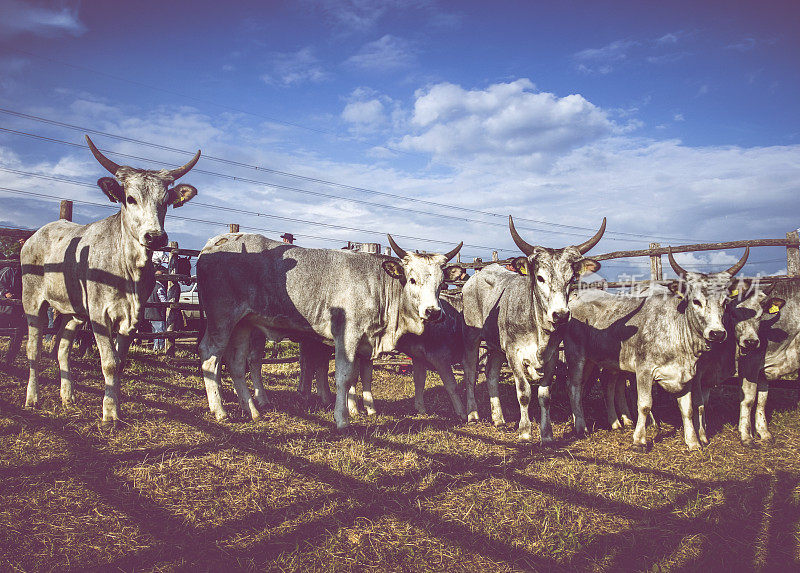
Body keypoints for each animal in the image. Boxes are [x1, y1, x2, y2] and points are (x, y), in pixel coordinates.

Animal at [21, 136, 199, 422]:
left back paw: (67, 396)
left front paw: (114, 406)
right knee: (33, 349)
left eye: (165, 201)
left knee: (62, 348)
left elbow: (120, 362)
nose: (155, 237)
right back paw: (32, 398)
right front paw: (109, 414)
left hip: (73, 313)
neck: (127, 270)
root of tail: (37, 235)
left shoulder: (131, 318)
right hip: (33, 302)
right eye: (130, 198)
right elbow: (109, 362)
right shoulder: (99, 315)